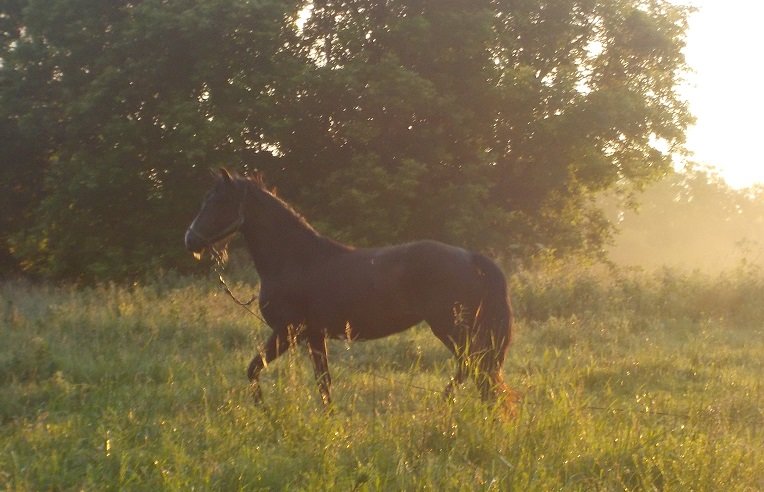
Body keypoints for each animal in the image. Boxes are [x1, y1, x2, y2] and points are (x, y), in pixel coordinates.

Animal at [184, 171, 512, 414]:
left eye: (218, 201)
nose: (191, 241)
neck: (296, 259)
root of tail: (470, 257)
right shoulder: (314, 336)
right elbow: (323, 383)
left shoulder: (287, 331)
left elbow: (254, 370)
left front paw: (267, 414)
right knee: (478, 370)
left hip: (450, 328)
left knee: (476, 368)